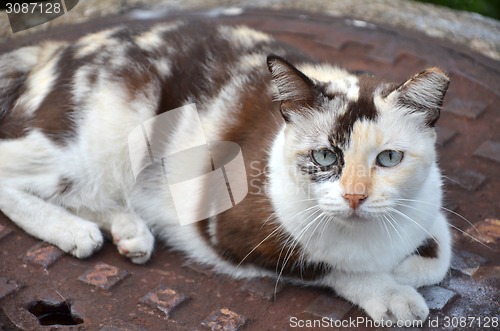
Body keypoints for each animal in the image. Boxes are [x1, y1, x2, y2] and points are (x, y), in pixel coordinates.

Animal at [0, 19, 452, 322]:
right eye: (325, 157)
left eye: (389, 159)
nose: (355, 196)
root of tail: (55, 49)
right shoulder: (233, 230)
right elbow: (329, 264)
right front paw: (391, 292)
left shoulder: (430, 203)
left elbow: (439, 256)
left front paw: (405, 267)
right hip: (98, 138)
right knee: (15, 171)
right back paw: (75, 231)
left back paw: (131, 230)